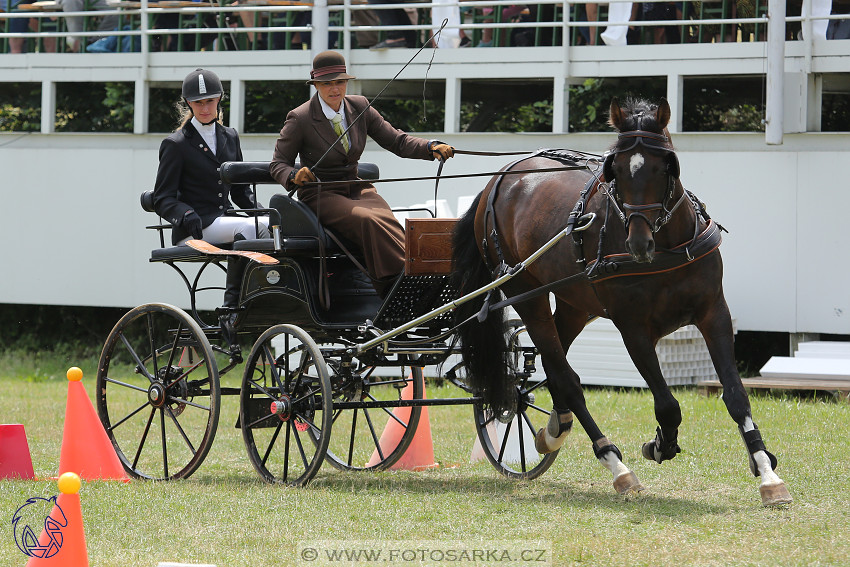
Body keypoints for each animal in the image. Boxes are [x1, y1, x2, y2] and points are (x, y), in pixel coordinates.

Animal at [454, 96, 792, 506]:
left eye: (665, 166)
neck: (665, 248)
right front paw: (661, 444)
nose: (638, 243)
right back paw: (615, 464)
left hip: (575, 303)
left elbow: (737, 396)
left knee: (552, 367)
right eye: (615, 170)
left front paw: (767, 472)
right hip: (526, 292)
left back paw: (553, 430)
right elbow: (667, 404)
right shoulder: (633, 328)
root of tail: (498, 179)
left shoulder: (714, 313)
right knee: (566, 377)